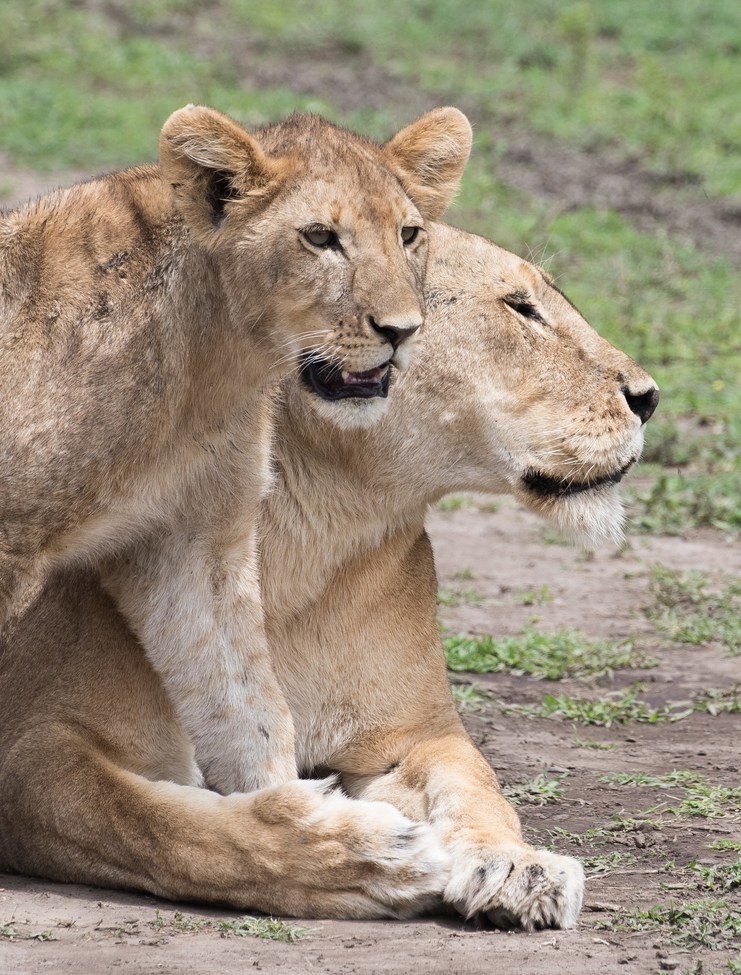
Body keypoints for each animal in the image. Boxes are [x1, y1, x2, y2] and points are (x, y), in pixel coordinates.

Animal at [0, 105, 472, 797]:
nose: (403, 331)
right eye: (320, 237)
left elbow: (249, 707)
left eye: (408, 234)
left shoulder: (194, 540)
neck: (209, 364)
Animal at [0, 222, 659, 928]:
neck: (310, 528)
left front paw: (517, 865)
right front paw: (368, 856)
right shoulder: (35, 751)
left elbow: (477, 783)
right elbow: (154, 824)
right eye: (520, 307)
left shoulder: (413, 734)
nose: (649, 398)